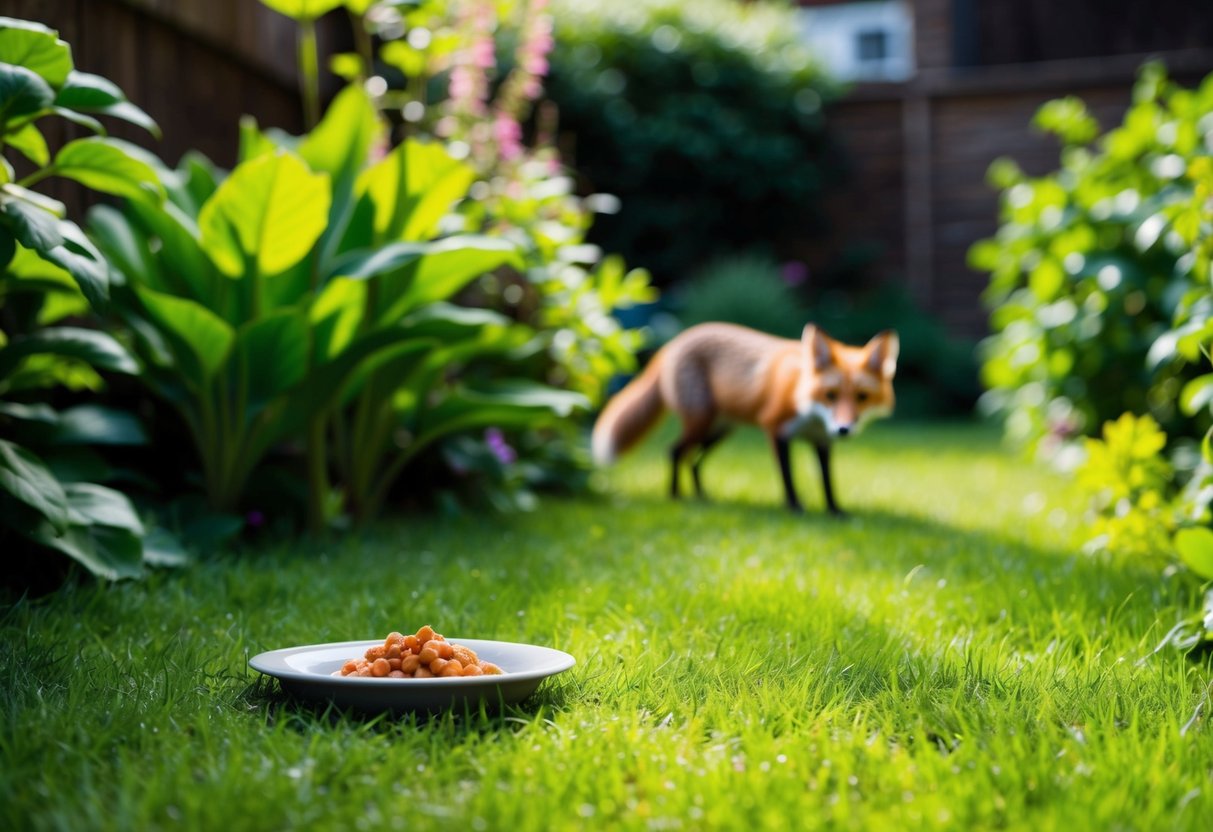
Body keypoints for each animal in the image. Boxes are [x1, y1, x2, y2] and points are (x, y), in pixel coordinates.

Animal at [591, 323, 898, 515]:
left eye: (861, 397)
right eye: (831, 395)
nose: (843, 429)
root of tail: (674, 343)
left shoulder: (822, 441)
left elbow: (827, 482)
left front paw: (835, 511)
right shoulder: (776, 430)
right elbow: (788, 477)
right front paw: (795, 508)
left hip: (720, 431)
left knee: (694, 460)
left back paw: (702, 497)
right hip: (701, 422)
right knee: (675, 451)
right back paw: (675, 496)